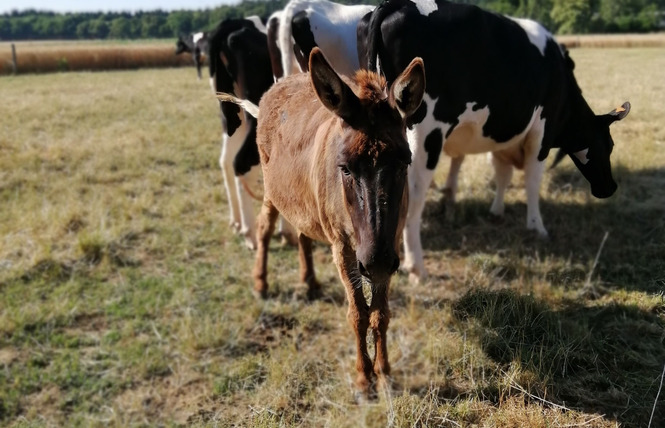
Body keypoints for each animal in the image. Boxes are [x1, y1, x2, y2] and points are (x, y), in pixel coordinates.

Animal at [360, 0, 632, 280]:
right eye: (609, 145)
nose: (610, 187)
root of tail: (396, 5)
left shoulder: (504, 137)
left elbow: (502, 174)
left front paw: (497, 211)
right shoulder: (541, 133)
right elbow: (532, 181)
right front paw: (536, 227)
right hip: (425, 134)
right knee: (412, 194)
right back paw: (416, 267)